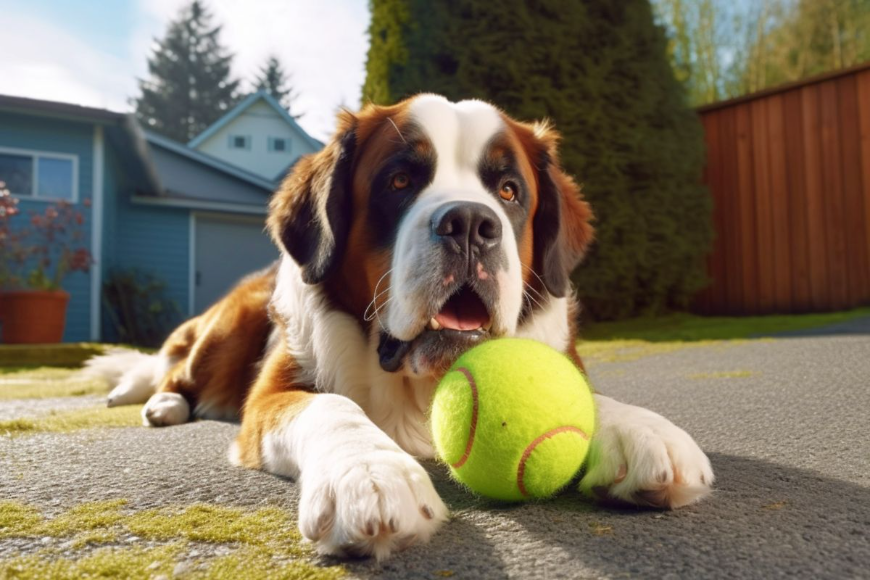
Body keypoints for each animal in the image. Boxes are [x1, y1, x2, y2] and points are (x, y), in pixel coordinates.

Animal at [87, 95, 716, 560]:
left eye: (508, 191)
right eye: (399, 182)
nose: (470, 223)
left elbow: (587, 393)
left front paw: (644, 431)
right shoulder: (271, 396)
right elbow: (332, 406)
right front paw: (369, 475)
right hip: (228, 328)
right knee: (177, 372)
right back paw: (164, 404)